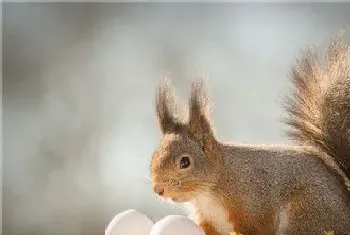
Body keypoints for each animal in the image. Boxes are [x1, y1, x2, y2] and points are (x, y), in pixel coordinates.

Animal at [150, 35, 350, 235]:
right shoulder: (209, 221)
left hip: (306, 215)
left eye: (185, 162)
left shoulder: (254, 202)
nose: (158, 190)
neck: (211, 188)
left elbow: (255, 226)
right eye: (153, 157)